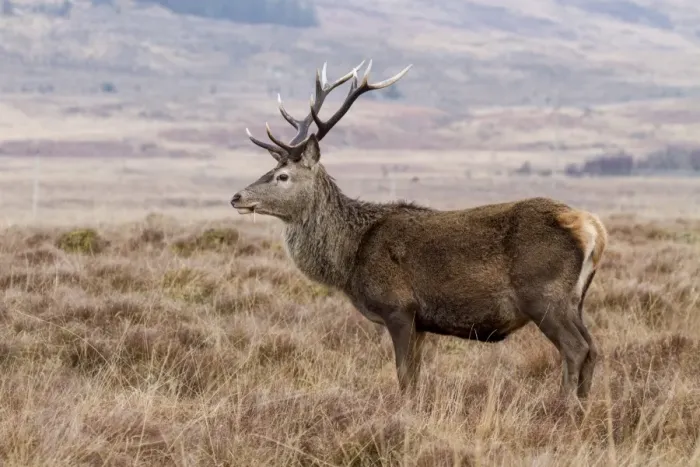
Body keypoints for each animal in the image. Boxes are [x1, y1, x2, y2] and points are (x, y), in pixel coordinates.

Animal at [230, 60, 608, 401]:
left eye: (283, 176)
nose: (236, 197)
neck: (351, 257)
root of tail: (593, 228)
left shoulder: (399, 308)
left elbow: (404, 377)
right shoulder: (422, 322)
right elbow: (416, 375)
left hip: (543, 295)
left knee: (575, 348)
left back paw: (563, 407)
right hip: (574, 300)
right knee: (593, 348)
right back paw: (583, 406)